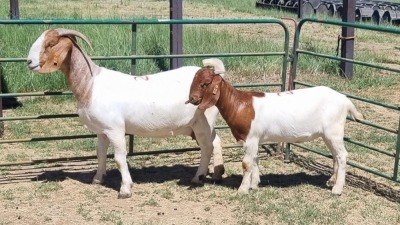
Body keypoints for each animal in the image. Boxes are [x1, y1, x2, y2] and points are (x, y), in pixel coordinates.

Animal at [26, 28, 225, 199]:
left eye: (51, 43)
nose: (29, 62)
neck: (91, 83)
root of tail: (218, 76)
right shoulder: (101, 131)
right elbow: (100, 153)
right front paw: (97, 179)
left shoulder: (115, 129)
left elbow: (119, 159)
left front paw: (125, 189)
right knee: (215, 142)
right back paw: (216, 173)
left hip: (203, 121)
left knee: (207, 146)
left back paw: (198, 177)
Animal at [186, 59, 364, 195]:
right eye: (193, 81)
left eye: (205, 83)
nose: (192, 99)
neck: (239, 104)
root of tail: (344, 99)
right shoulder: (252, 140)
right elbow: (255, 160)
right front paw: (254, 184)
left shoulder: (251, 138)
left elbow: (247, 163)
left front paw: (243, 189)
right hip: (328, 134)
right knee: (335, 155)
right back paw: (332, 180)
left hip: (334, 131)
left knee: (342, 155)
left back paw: (337, 189)